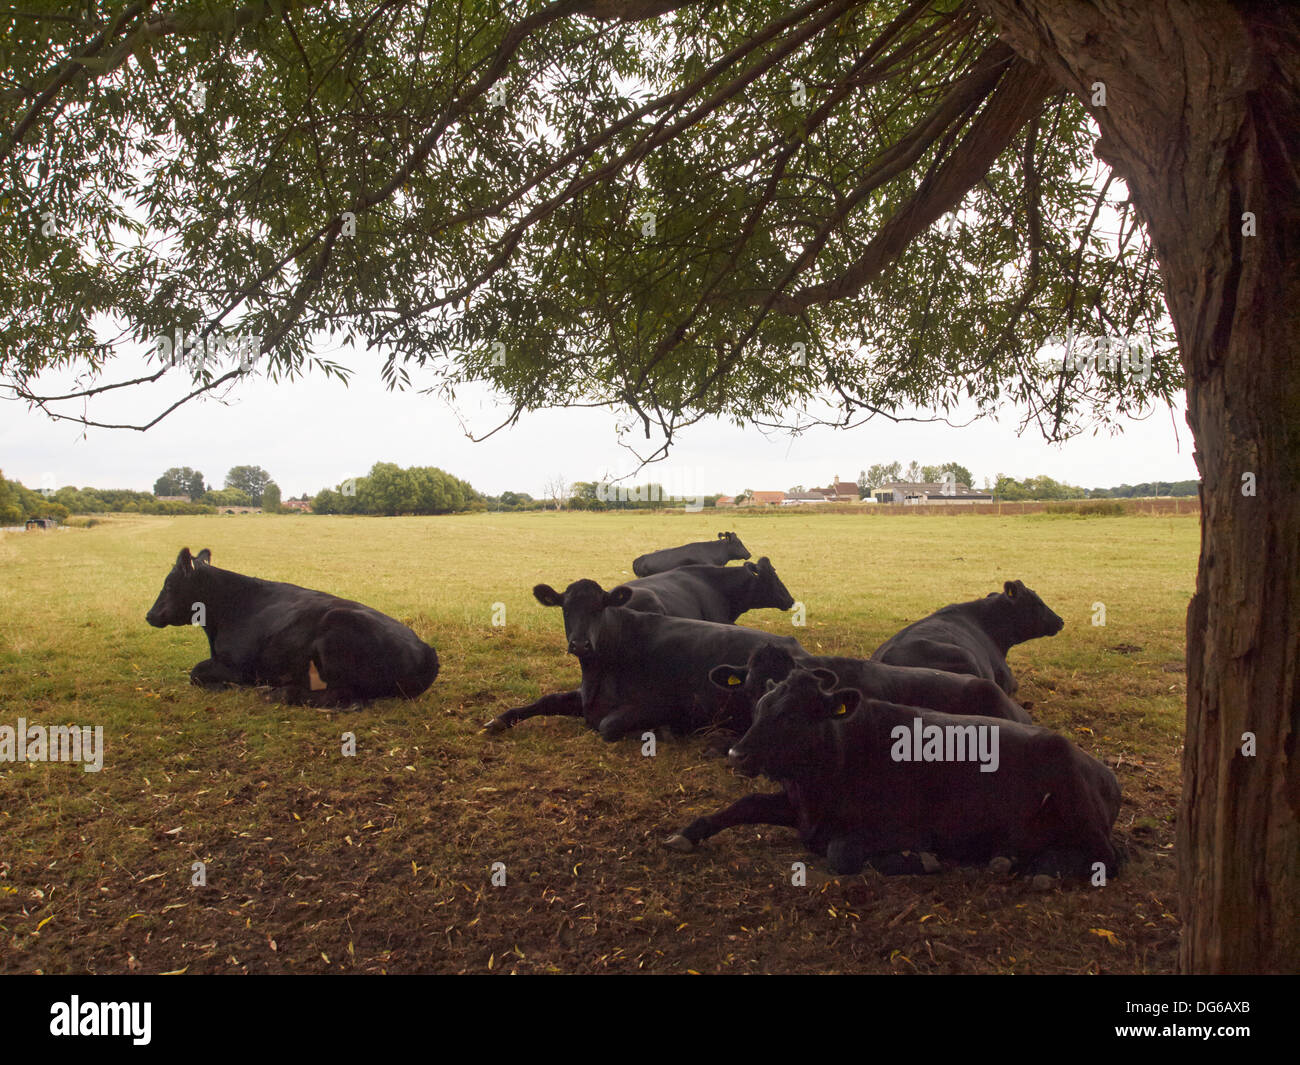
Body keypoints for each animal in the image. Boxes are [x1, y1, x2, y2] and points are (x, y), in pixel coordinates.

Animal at [146, 548, 439, 707]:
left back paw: (279, 693)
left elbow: (196, 673)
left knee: (346, 697)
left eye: (169, 584)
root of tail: (427, 651)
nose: (149, 615)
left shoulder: (239, 667)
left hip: (337, 633)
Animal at [480, 582, 800, 743]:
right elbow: (547, 700)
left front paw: (663, 731)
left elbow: (608, 725)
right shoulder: (584, 698)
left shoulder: (666, 704)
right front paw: (498, 720)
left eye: (600, 607)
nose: (580, 644)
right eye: (565, 609)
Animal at [665, 665, 1123, 884]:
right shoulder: (797, 807)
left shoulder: (906, 826)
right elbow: (742, 804)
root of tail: (1103, 771)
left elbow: (843, 854)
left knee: (1110, 858)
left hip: (1072, 792)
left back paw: (1043, 871)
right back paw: (1016, 861)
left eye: (792, 715)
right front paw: (687, 833)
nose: (736, 755)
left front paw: (919, 861)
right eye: (759, 706)